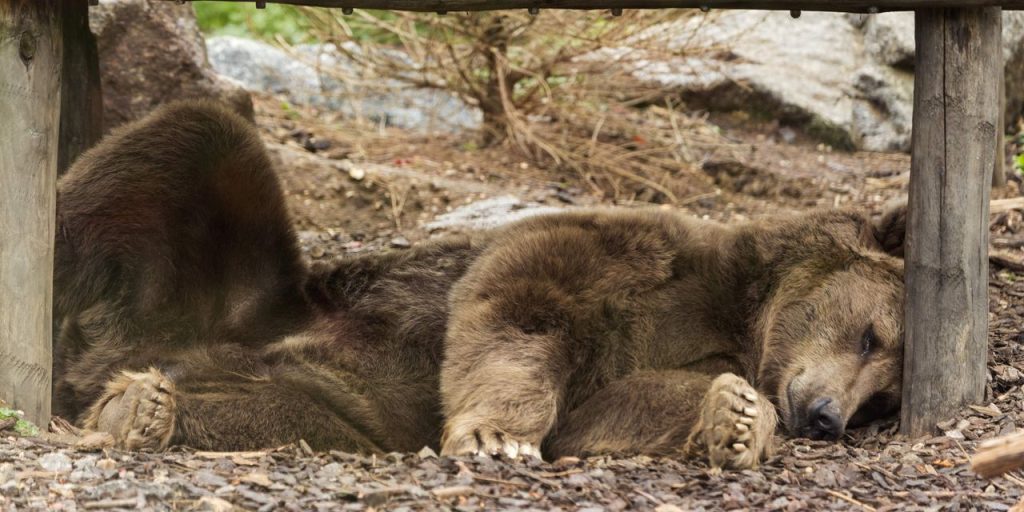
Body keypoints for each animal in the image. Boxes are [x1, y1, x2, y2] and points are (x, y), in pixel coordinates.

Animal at [52, 100, 906, 470]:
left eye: (883, 401)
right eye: (872, 336)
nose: (827, 416)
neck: (740, 314)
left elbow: (611, 412)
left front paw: (736, 416)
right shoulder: (636, 254)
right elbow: (525, 301)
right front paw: (498, 435)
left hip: (331, 406)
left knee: (267, 413)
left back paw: (141, 407)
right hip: (238, 280)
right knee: (195, 135)